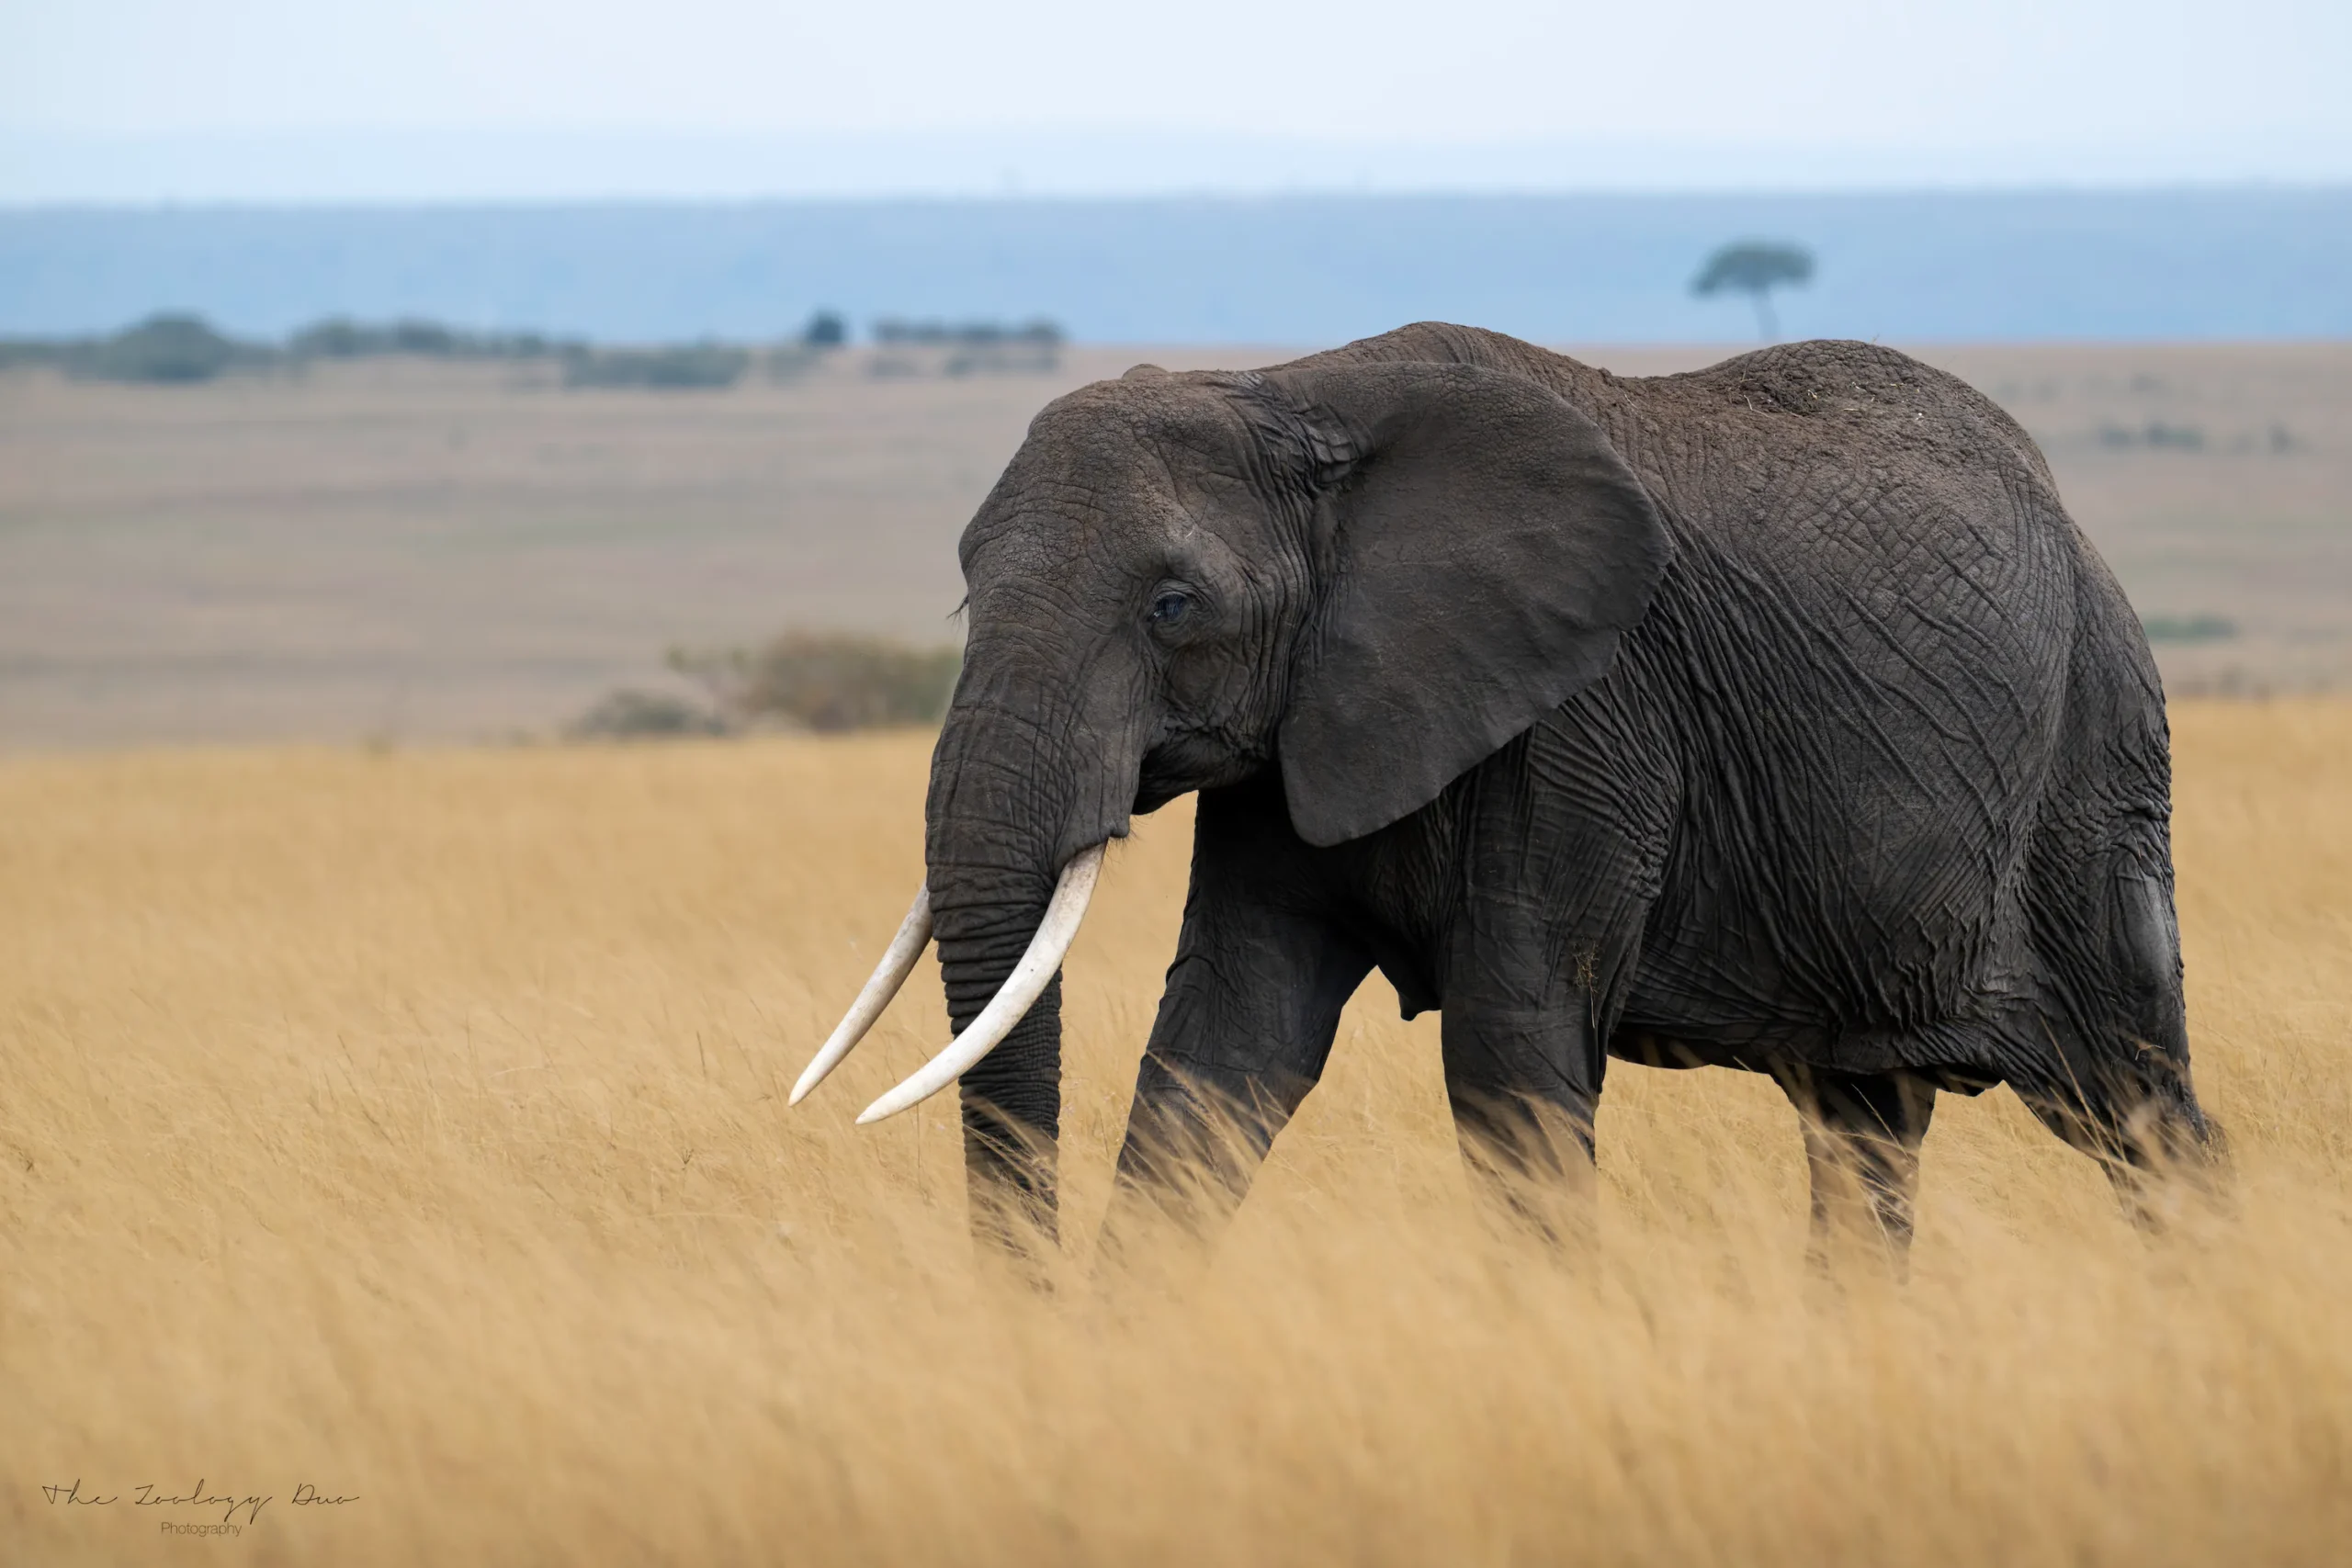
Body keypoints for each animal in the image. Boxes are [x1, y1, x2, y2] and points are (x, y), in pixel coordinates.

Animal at [794, 321, 2218, 1266]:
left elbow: (1509, 1052)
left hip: (2096, 759)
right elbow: (1227, 1038)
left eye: (1172, 606)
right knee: (1864, 1127)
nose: (1020, 1304)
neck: (1294, 391)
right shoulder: (1306, 723)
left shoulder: (1586, 717)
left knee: (2138, 1105)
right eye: (966, 588)